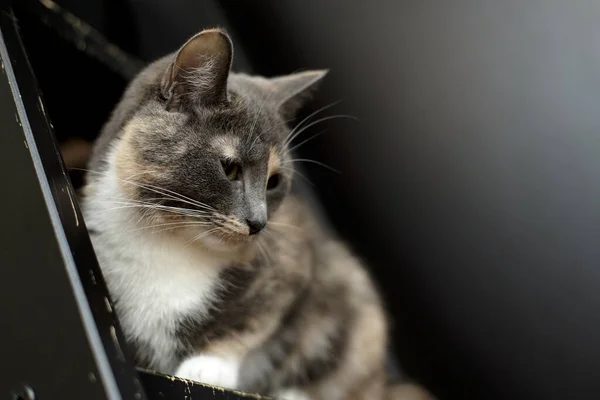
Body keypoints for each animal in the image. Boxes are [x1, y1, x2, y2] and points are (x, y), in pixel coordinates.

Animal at [81, 28, 432, 400]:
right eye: (230, 168)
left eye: (274, 181)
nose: (258, 222)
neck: (168, 242)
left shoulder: (295, 259)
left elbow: (256, 324)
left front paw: (210, 366)